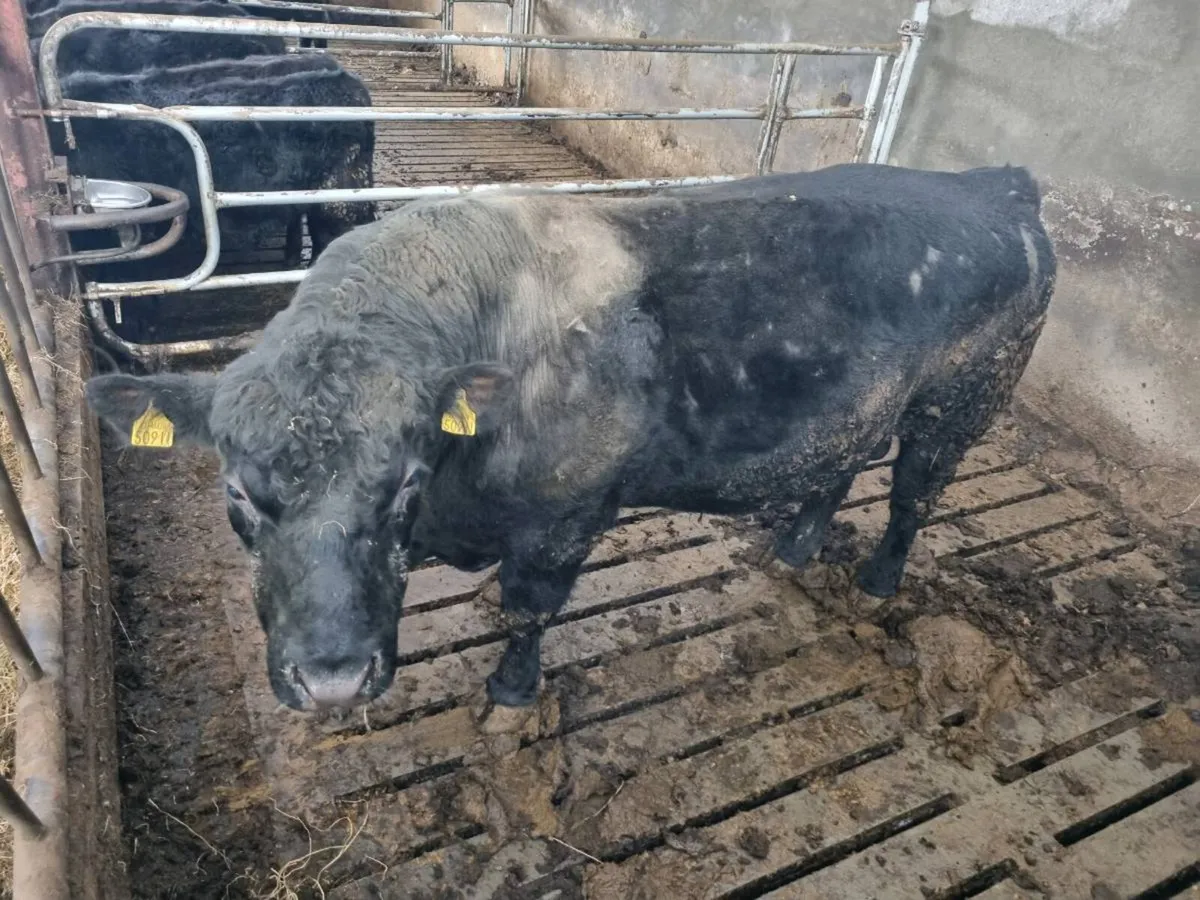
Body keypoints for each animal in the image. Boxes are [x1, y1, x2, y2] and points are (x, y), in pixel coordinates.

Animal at [84, 164, 1056, 717]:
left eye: (403, 485)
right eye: (238, 494)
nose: (332, 681)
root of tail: (993, 181)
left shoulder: (565, 516)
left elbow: (529, 610)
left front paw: (512, 693)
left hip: (965, 397)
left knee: (914, 493)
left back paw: (880, 578)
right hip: (862, 405)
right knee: (838, 467)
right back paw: (796, 545)